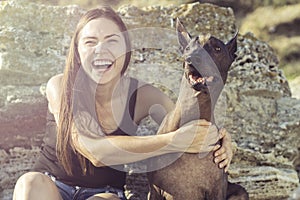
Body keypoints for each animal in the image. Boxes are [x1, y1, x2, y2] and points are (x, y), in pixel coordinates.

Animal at [148, 18, 248, 199]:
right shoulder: (154, 191)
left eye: (217, 48)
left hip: (240, 192)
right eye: (188, 48)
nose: (192, 58)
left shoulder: (216, 192)